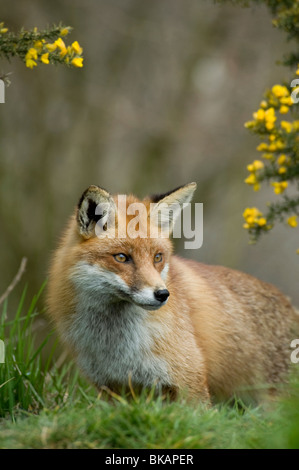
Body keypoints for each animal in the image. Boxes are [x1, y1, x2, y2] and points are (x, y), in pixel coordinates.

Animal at [47, 184, 298, 404]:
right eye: (121, 257)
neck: (116, 343)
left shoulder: (190, 382)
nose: (162, 294)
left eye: (158, 257)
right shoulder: (113, 389)